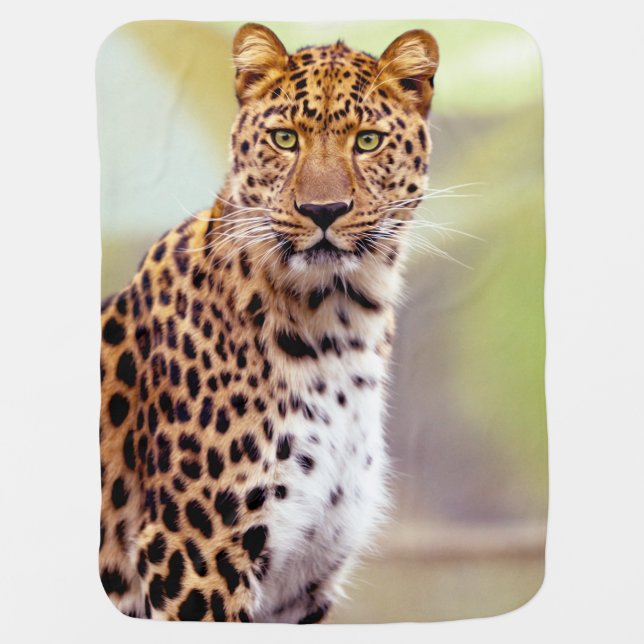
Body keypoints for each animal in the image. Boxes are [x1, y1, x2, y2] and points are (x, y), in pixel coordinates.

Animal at [99, 22, 439, 623]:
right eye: (284, 139)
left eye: (367, 141)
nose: (323, 211)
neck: (340, 323)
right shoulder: (195, 552)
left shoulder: (302, 579)